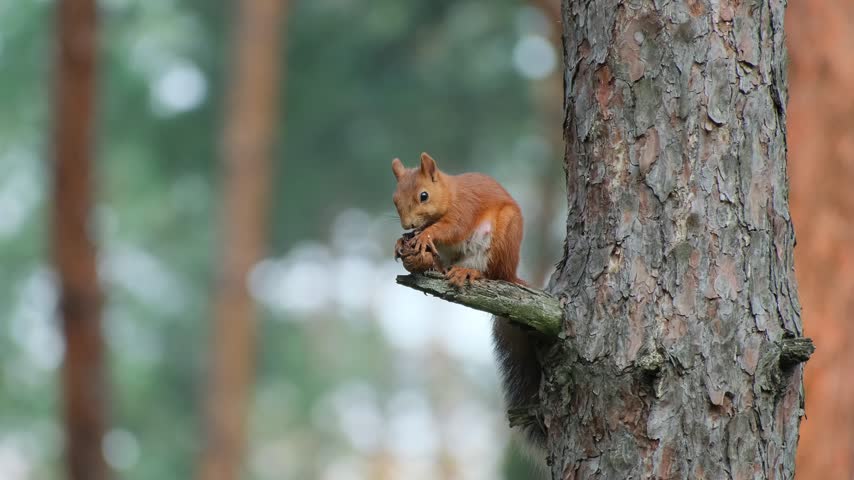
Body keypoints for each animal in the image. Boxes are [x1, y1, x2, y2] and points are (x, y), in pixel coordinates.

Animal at [391, 152, 546, 454]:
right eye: (394, 198)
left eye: (424, 195)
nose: (407, 226)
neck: (450, 194)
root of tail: (512, 273)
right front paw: (403, 240)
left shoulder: (465, 208)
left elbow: (452, 228)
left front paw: (425, 235)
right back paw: (433, 264)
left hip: (501, 239)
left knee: (491, 273)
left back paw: (470, 273)